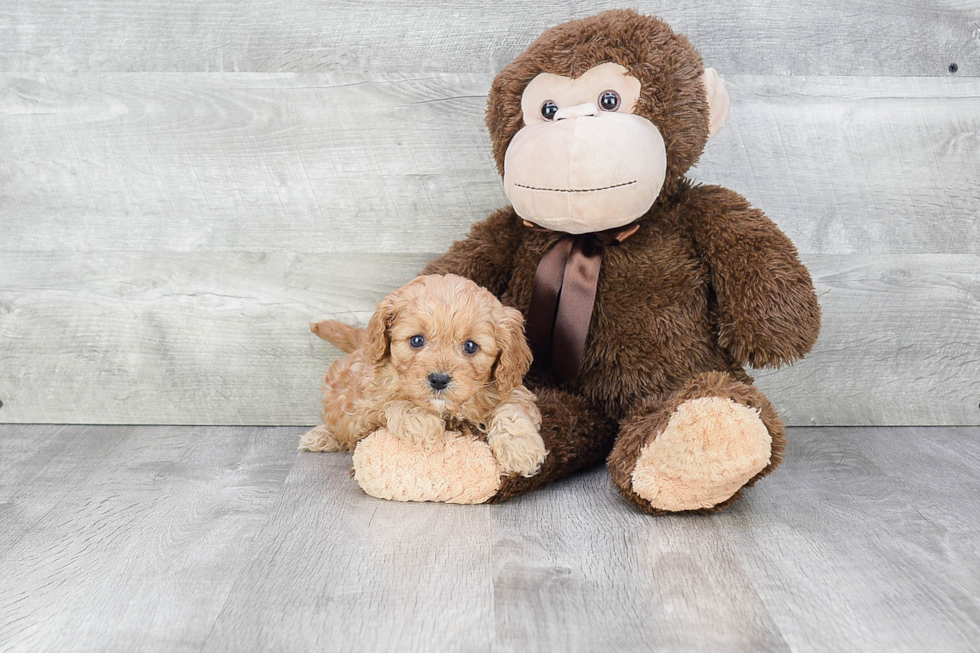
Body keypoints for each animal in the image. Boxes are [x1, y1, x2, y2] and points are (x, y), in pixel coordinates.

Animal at [298, 272, 548, 476]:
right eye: (417, 340)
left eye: (470, 346)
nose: (439, 380)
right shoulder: (366, 408)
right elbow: (392, 403)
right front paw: (420, 421)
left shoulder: (513, 388)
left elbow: (510, 408)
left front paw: (520, 449)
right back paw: (321, 436)